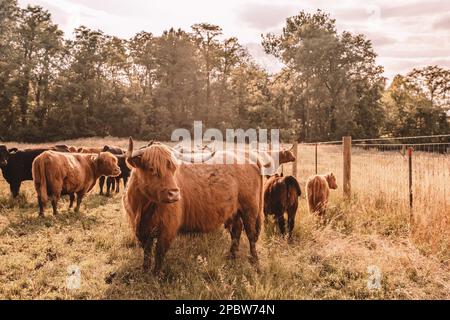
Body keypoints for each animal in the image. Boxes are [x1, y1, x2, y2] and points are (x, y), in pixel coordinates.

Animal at [121, 136, 266, 274]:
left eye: (173, 169)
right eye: (152, 168)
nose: (174, 194)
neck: (144, 206)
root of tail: (247, 154)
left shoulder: (167, 228)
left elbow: (159, 253)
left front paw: (156, 275)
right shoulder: (142, 229)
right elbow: (147, 252)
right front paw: (145, 271)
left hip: (250, 209)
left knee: (251, 235)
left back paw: (255, 263)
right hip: (234, 211)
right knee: (236, 230)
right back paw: (231, 257)